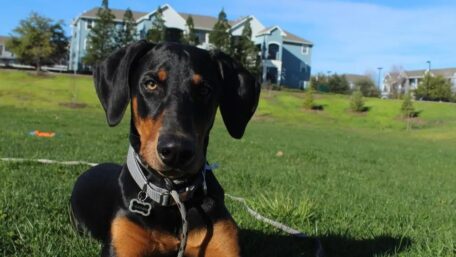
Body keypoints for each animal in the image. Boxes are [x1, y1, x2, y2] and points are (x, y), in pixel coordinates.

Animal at [68, 40, 260, 256]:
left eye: (204, 90)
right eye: (151, 83)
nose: (176, 151)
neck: (172, 197)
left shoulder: (223, 241)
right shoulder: (123, 241)